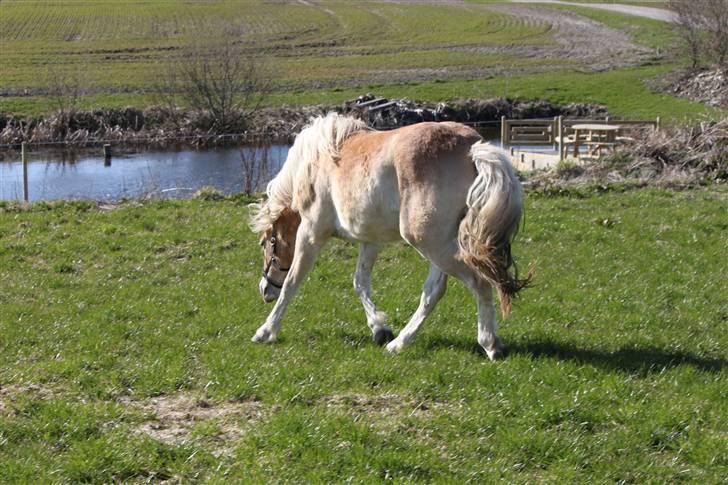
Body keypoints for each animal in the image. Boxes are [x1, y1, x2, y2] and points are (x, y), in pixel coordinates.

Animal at [250, 111, 528, 358]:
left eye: (266, 243)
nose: (264, 290)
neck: (316, 161)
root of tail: (473, 148)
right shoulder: (369, 240)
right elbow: (360, 283)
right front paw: (380, 329)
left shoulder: (311, 233)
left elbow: (291, 283)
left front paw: (266, 331)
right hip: (440, 245)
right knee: (433, 291)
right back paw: (398, 343)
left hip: (431, 243)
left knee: (479, 282)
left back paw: (490, 344)